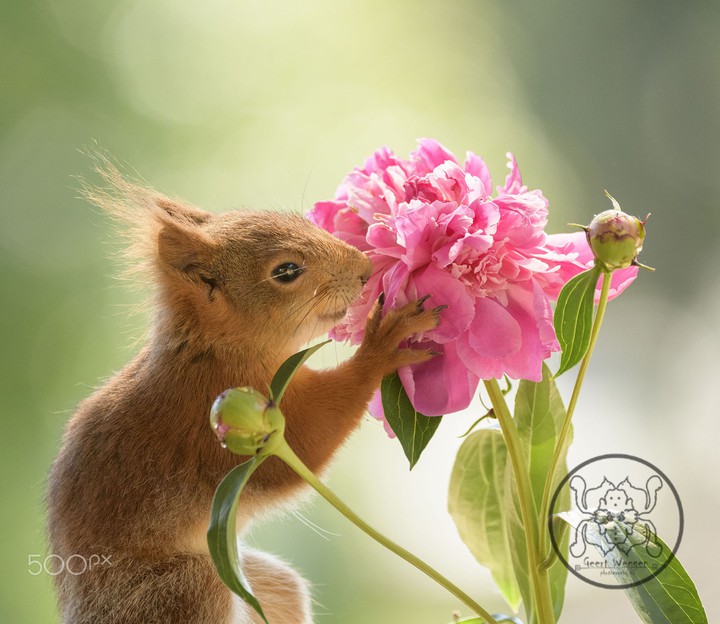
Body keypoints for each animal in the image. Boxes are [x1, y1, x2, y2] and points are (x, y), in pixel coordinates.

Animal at [46, 162, 442, 624]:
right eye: (286, 271)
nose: (364, 270)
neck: (215, 349)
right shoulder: (209, 408)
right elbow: (302, 445)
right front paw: (382, 343)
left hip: (266, 582)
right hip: (185, 591)